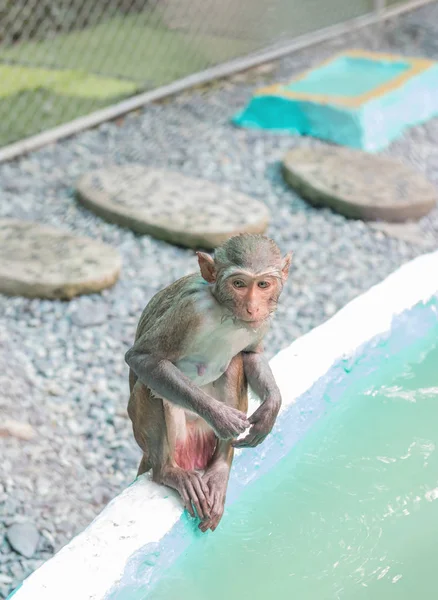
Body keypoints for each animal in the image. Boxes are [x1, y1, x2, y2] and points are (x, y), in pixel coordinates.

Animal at [126, 232, 290, 532]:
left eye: (263, 284)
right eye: (239, 283)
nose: (253, 307)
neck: (225, 311)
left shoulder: (264, 319)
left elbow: (251, 354)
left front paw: (272, 408)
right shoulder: (190, 309)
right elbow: (142, 359)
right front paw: (221, 417)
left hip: (203, 437)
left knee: (235, 361)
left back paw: (219, 469)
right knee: (148, 384)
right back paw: (169, 472)